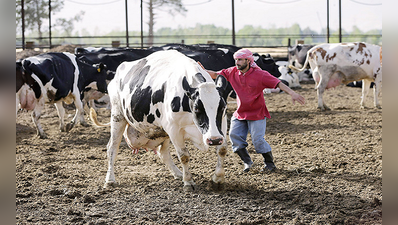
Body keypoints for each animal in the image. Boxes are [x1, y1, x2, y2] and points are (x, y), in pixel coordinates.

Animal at [89, 49, 229, 192]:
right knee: (112, 148)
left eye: (223, 107)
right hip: (118, 115)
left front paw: (218, 179)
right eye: (196, 108)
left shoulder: (221, 125)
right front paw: (188, 182)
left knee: (163, 153)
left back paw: (178, 174)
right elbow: (184, 156)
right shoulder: (174, 129)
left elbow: (222, 150)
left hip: (162, 131)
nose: (214, 140)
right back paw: (110, 180)